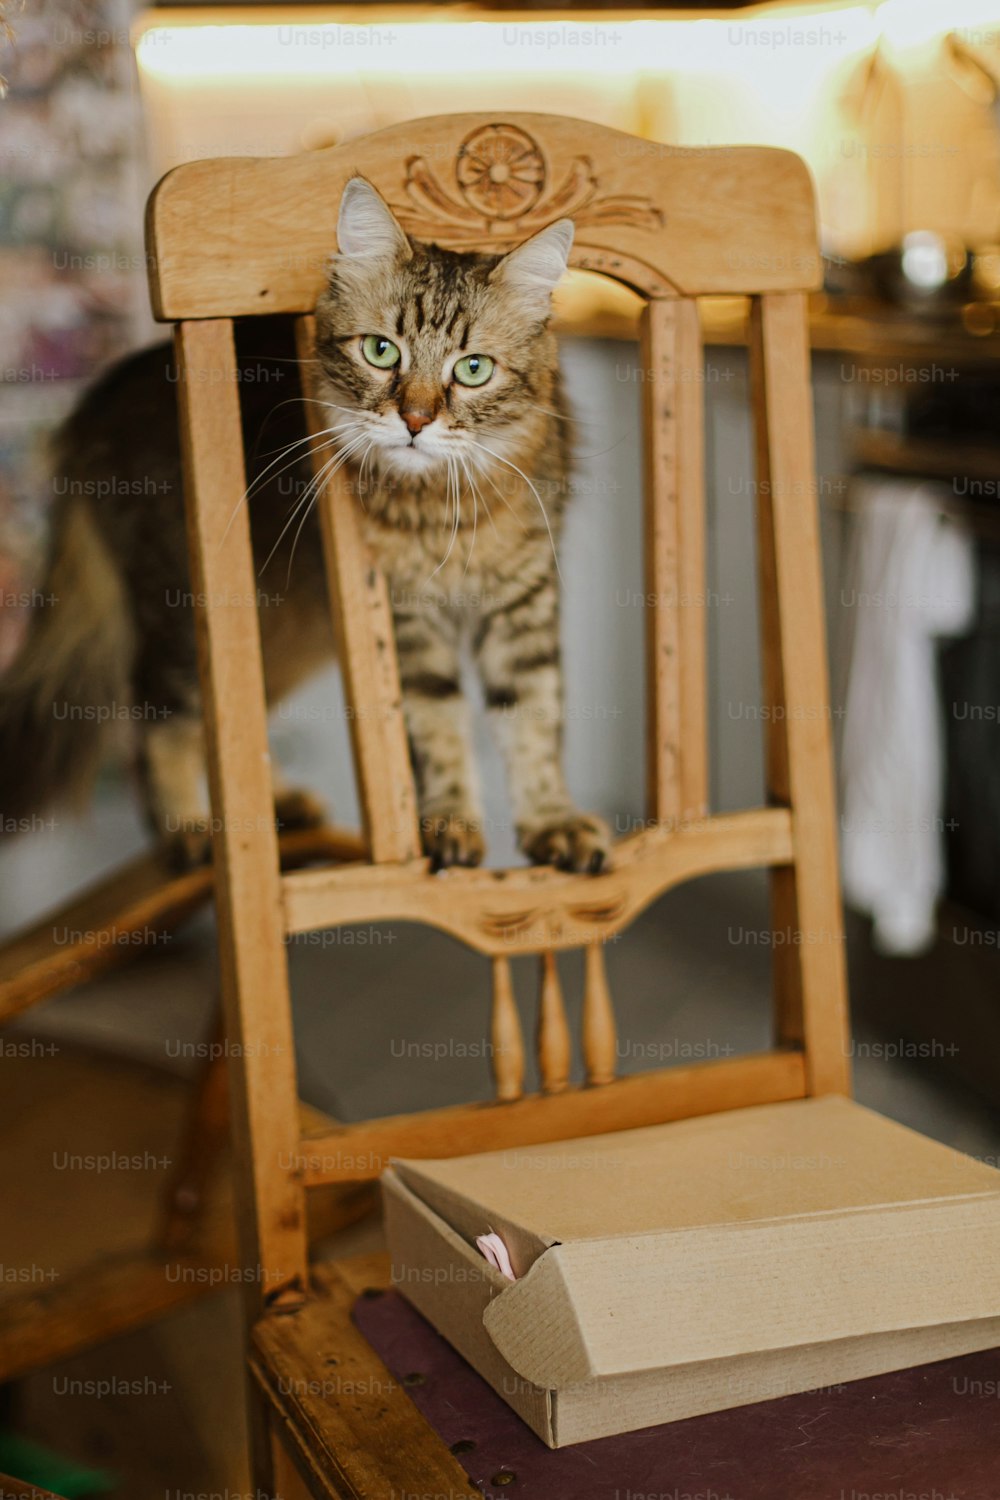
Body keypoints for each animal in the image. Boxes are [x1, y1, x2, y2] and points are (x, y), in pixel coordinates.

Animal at [0, 180, 611, 876]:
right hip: (188, 611)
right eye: (381, 351)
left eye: (473, 369)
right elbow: (436, 725)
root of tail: (92, 405)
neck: (442, 512)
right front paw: (449, 824)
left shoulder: (523, 601)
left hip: (284, 631)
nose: (416, 421)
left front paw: (551, 823)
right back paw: (189, 828)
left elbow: (532, 721)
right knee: (159, 716)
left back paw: (274, 804)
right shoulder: (404, 615)